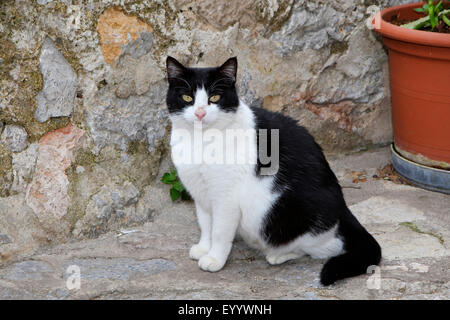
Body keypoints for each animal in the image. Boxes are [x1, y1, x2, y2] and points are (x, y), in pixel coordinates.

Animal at [163, 55, 382, 284]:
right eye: (187, 97)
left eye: (214, 97)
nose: (200, 112)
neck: (200, 141)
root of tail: (343, 208)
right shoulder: (201, 194)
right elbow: (206, 226)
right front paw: (204, 248)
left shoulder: (226, 199)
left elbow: (220, 232)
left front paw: (215, 258)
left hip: (275, 216)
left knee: (324, 247)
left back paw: (279, 254)